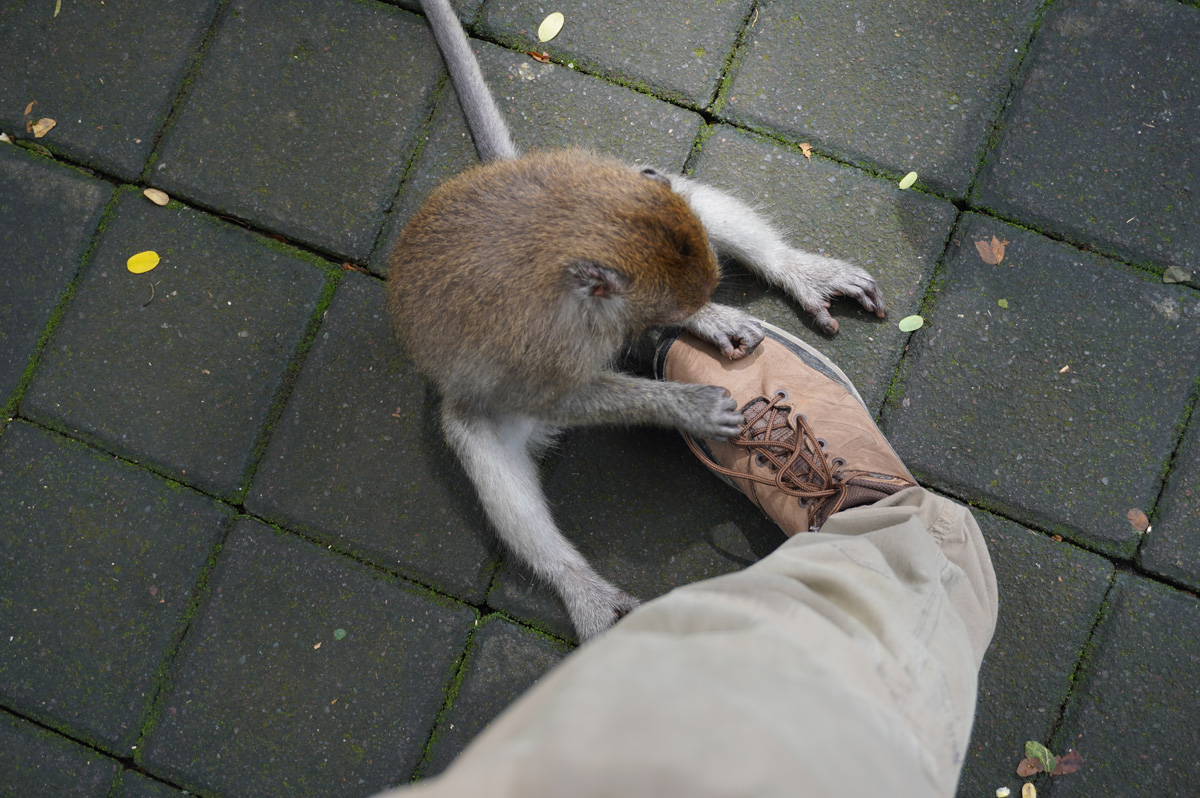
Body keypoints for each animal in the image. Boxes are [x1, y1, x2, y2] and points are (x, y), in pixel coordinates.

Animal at [387, 0, 887, 640]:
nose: (689, 314)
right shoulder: (537, 343)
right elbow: (555, 395)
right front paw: (687, 405)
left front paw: (709, 320)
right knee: (477, 435)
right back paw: (580, 586)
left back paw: (791, 270)